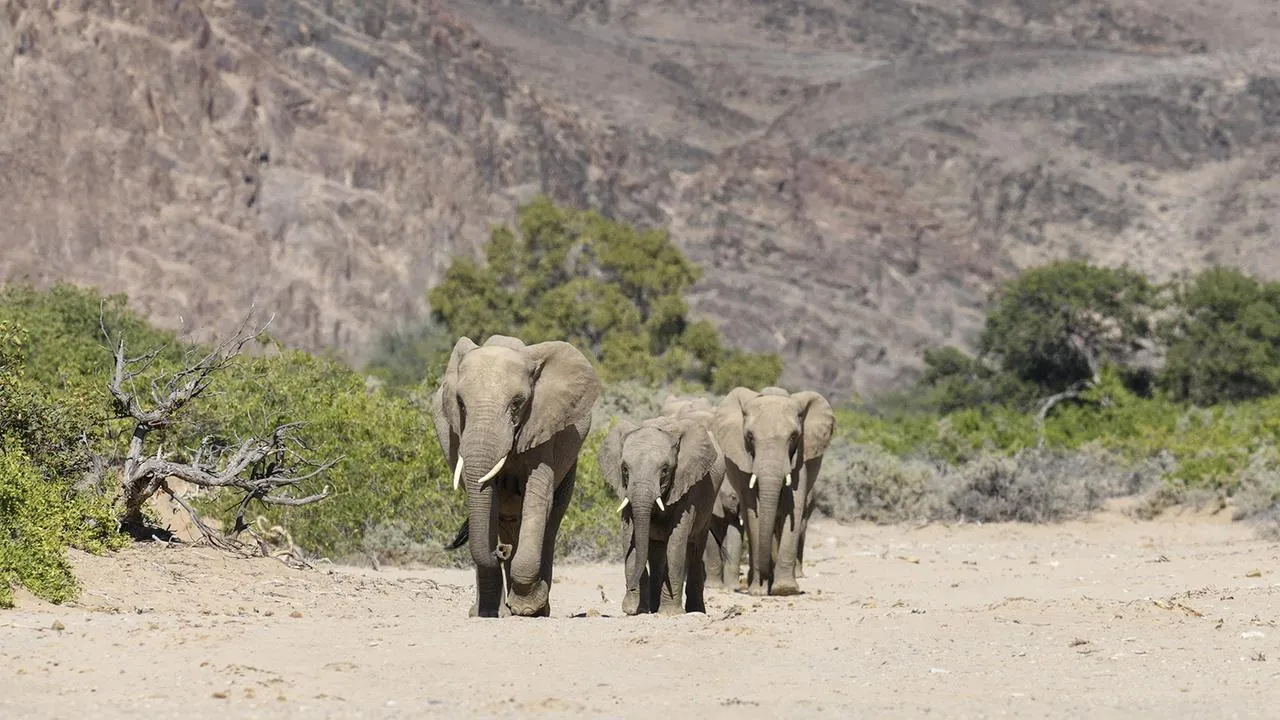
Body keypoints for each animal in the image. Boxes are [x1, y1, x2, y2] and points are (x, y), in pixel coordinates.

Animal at [430, 333, 599, 614]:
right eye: (461, 403)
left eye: (517, 403)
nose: (501, 551)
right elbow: (488, 502)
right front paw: (494, 612)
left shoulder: (542, 426)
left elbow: (538, 499)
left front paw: (528, 607)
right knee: (504, 520)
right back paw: (490, 610)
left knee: (550, 522)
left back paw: (536, 608)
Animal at [596, 407, 727, 614]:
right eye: (624, 469)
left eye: (665, 470)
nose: (628, 589)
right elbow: (629, 536)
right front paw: (634, 610)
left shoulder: (687, 484)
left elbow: (676, 542)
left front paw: (670, 614)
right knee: (656, 554)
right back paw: (654, 607)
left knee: (695, 548)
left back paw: (695, 610)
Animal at [711, 386, 839, 594]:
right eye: (749, 436)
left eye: (794, 436)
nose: (765, 580)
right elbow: (755, 513)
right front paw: (759, 590)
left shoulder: (800, 458)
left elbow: (794, 507)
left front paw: (785, 590)